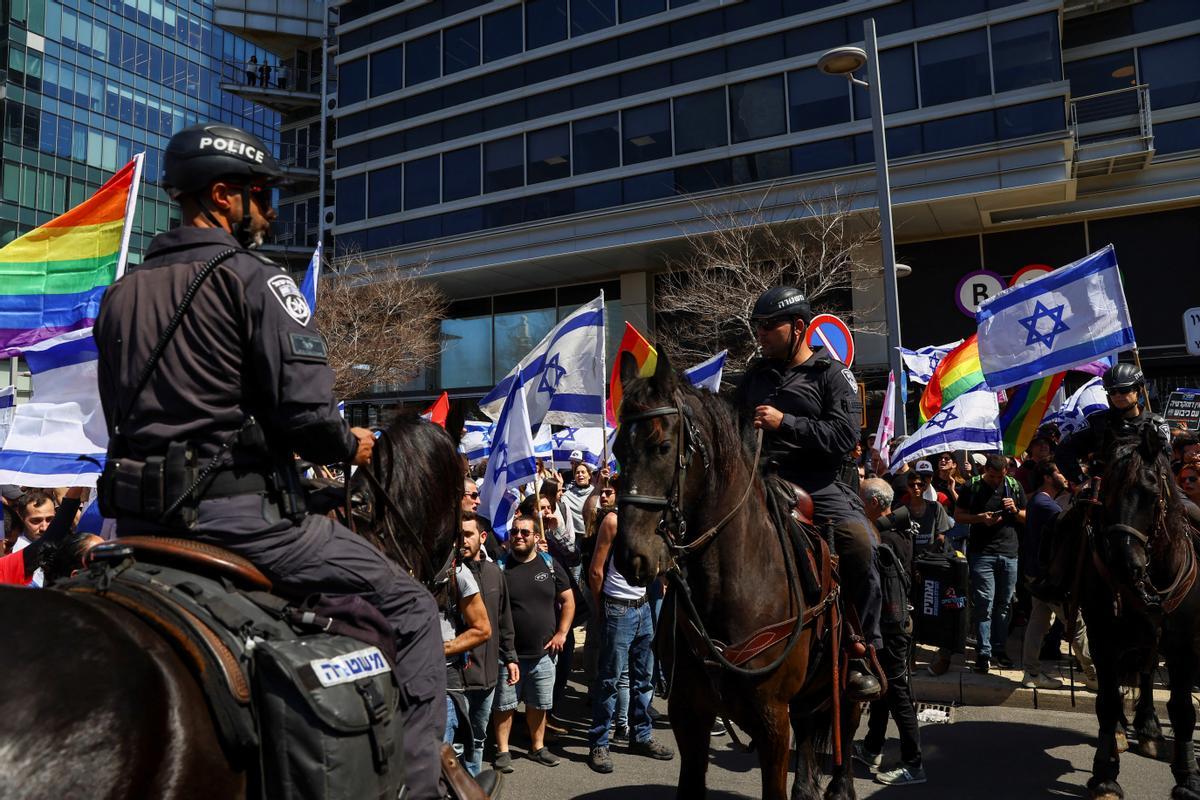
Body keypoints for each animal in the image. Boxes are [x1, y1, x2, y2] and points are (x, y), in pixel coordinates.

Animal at [614, 355, 859, 800]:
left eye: (661, 446)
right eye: (617, 449)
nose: (631, 555)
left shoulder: (772, 719)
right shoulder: (687, 711)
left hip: (849, 680)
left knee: (846, 729)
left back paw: (841, 786)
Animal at [1060, 422, 1200, 796]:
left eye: (1151, 493)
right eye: (1104, 492)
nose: (1124, 564)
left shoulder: (1183, 646)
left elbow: (1183, 709)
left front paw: (1187, 778)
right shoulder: (1105, 640)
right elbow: (1107, 704)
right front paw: (1106, 775)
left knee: (1148, 672)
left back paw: (1150, 730)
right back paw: (1127, 732)